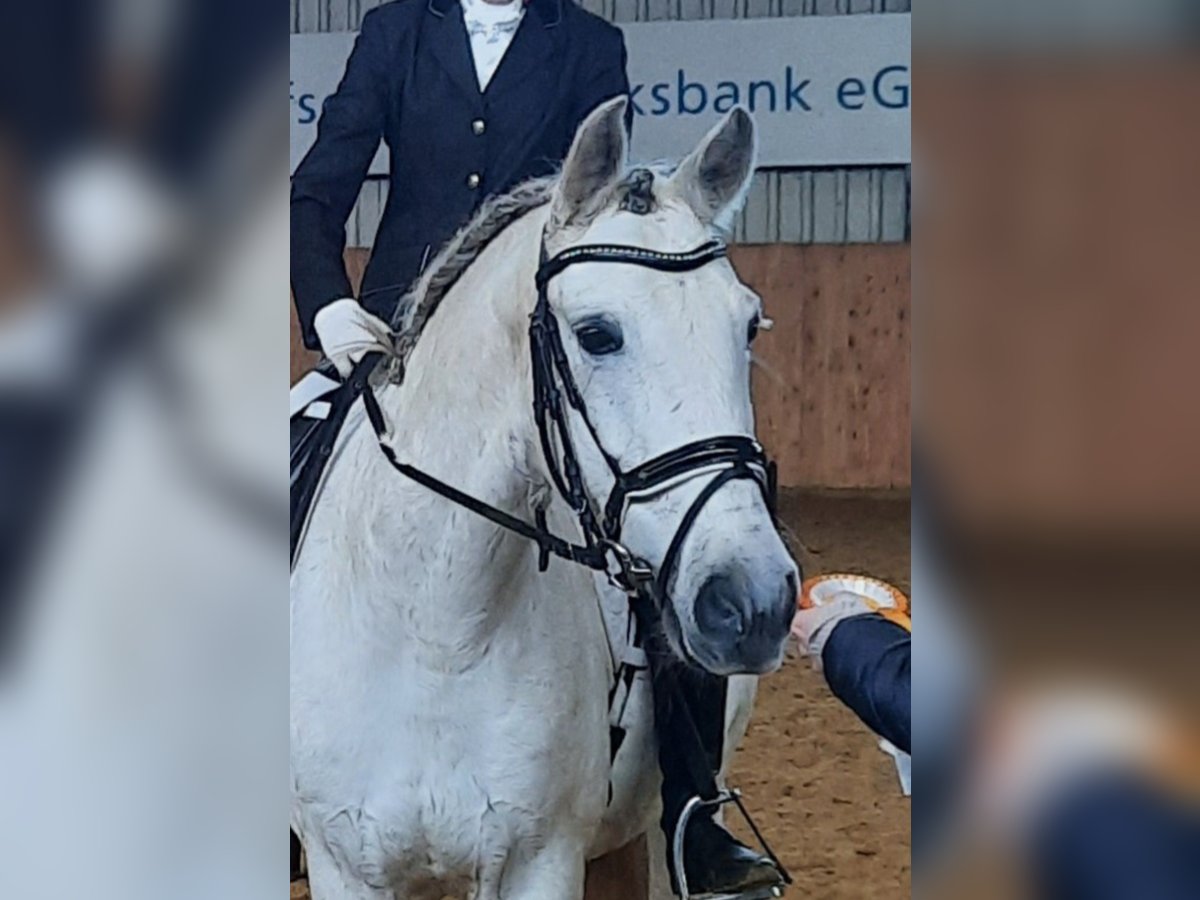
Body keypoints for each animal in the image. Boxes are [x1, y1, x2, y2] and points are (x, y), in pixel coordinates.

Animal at [291, 98, 799, 900]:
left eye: (748, 324)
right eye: (596, 334)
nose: (753, 601)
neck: (437, 625)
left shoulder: (543, 859)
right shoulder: (344, 863)